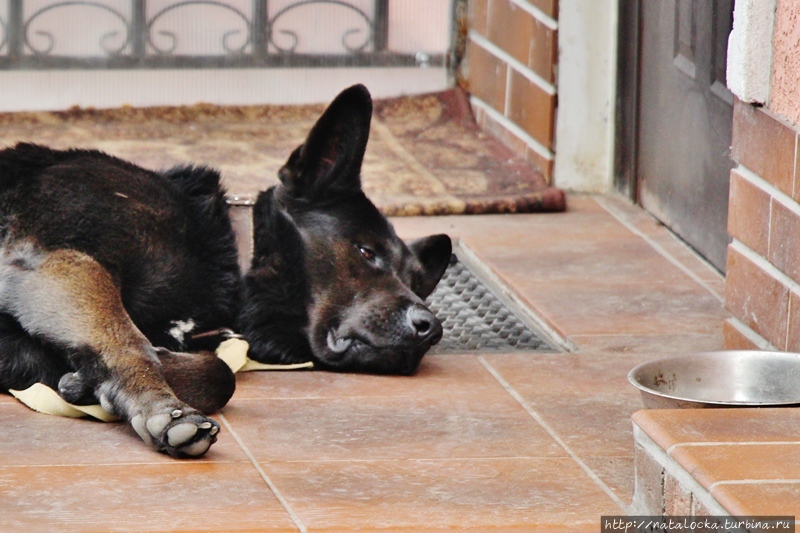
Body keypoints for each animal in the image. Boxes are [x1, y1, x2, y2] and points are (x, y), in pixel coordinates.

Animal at [0, 84, 454, 458]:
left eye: (417, 285)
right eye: (365, 251)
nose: (430, 328)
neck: (229, 254)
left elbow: (216, 370)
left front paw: (82, 381)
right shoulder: (57, 261)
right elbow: (131, 343)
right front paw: (160, 406)